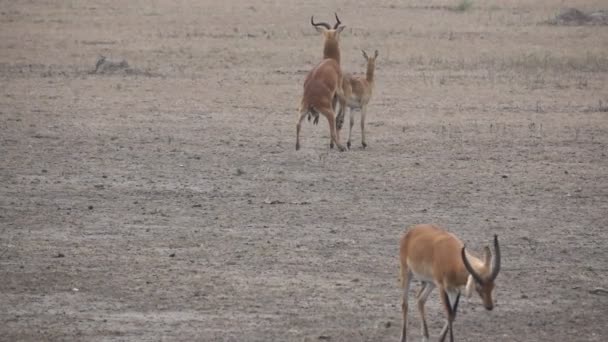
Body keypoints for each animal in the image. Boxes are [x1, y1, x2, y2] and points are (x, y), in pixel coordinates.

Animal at [296, 13, 344, 152]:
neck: (330, 60)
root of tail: (310, 100)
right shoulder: (338, 92)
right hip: (328, 113)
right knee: (332, 130)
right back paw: (341, 147)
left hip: (302, 110)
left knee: (297, 125)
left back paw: (297, 146)